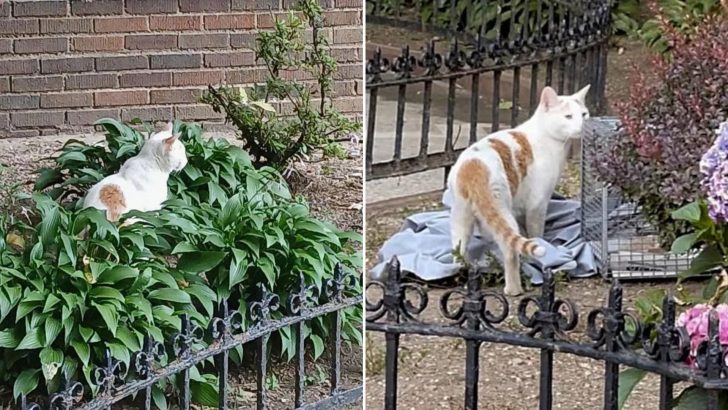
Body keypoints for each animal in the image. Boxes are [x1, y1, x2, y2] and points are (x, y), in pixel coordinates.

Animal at [450, 85, 592, 294]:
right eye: (568, 116)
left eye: (584, 114)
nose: (583, 125)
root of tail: (473, 167)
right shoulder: (537, 204)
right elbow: (535, 233)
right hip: (502, 208)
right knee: (509, 249)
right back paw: (514, 289)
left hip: (461, 216)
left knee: (458, 248)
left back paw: (464, 274)